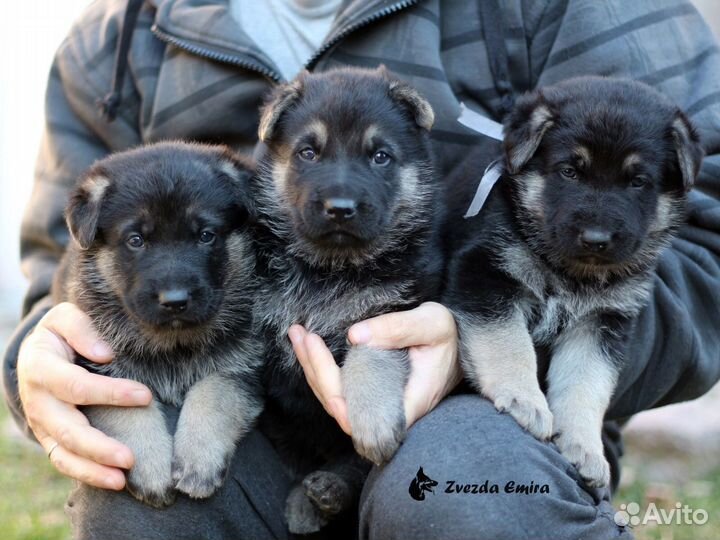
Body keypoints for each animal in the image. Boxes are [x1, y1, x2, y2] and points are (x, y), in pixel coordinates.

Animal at [52, 142, 264, 506]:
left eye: (206, 236)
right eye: (136, 240)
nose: (175, 300)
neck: (173, 345)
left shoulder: (245, 365)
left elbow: (214, 391)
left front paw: (199, 458)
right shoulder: (97, 369)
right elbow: (127, 407)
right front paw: (150, 467)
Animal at [253, 66, 442, 532]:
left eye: (380, 157)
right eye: (307, 153)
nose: (340, 208)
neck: (330, 268)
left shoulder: (392, 311)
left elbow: (370, 355)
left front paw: (372, 419)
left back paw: (325, 492)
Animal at [444, 77, 704, 490]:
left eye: (638, 181)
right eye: (569, 172)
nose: (596, 239)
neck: (570, 272)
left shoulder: (602, 322)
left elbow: (587, 383)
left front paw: (584, 447)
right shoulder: (484, 273)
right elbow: (508, 342)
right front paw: (523, 399)